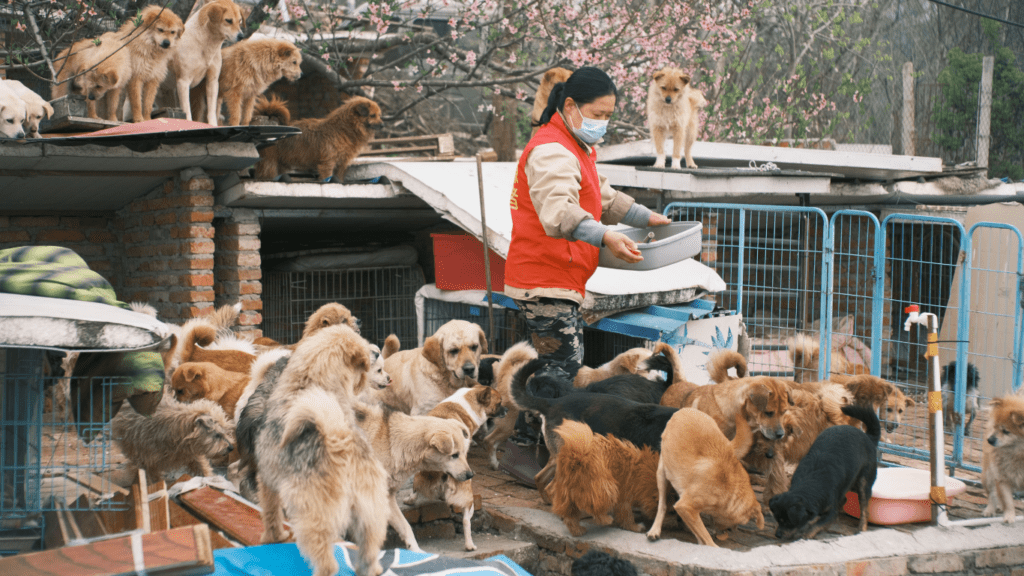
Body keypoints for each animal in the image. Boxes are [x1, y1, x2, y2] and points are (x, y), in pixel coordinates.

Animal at [254, 95, 385, 181]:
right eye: (372, 115)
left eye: (379, 115)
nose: (383, 125)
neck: (344, 129)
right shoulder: (327, 163)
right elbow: (327, 177)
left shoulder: (341, 164)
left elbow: (338, 178)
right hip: (270, 163)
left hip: (282, 164)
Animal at [403, 383, 507, 549]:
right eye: (499, 403)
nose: (507, 410)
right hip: (468, 500)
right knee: (466, 520)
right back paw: (469, 545)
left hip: (418, 474)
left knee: (415, 488)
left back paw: (410, 500)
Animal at [643, 405, 765, 545]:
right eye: (738, 523)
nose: (729, 531)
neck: (730, 488)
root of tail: (684, 410)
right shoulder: (685, 506)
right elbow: (707, 539)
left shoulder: (689, 510)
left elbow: (700, 534)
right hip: (662, 474)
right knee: (662, 505)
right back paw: (654, 530)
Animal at [770, 403, 880, 537]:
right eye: (778, 520)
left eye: (789, 522)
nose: (778, 535)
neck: (810, 483)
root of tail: (868, 437)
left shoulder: (830, 513)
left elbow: (816, 525)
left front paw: (805, 535)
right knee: (845, 499)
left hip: (863, 482)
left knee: (864, 507)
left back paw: (861, 528)